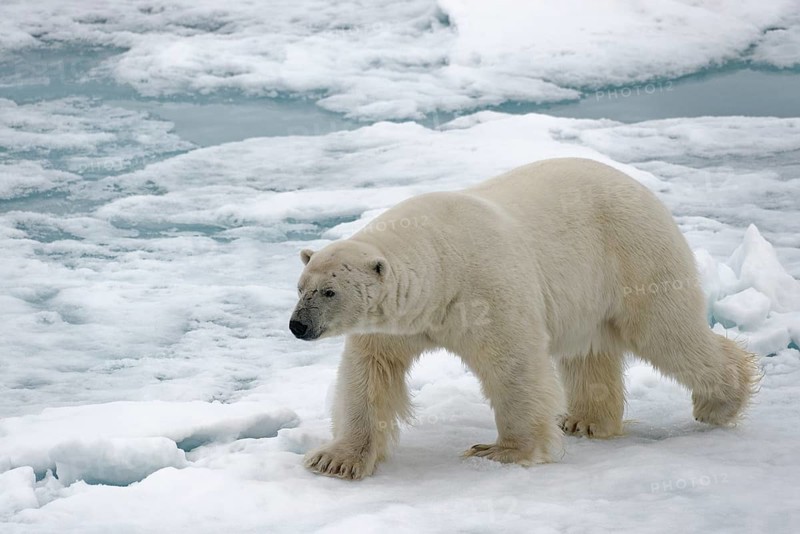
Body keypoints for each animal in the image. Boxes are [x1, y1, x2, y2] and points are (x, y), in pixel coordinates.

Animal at [290, 157, 759, 480]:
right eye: (300, 286)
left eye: (329, 291)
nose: (298, 326)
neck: (440, 261)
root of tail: (642, 189)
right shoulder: (397, 322)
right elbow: (369, 373)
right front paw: (336, 459)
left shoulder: (484, 286)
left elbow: (513, 363)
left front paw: (503, 451)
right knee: (589, 351)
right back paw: (585, 420)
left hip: (634, 256)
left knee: (667, 332)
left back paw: (720, 401)